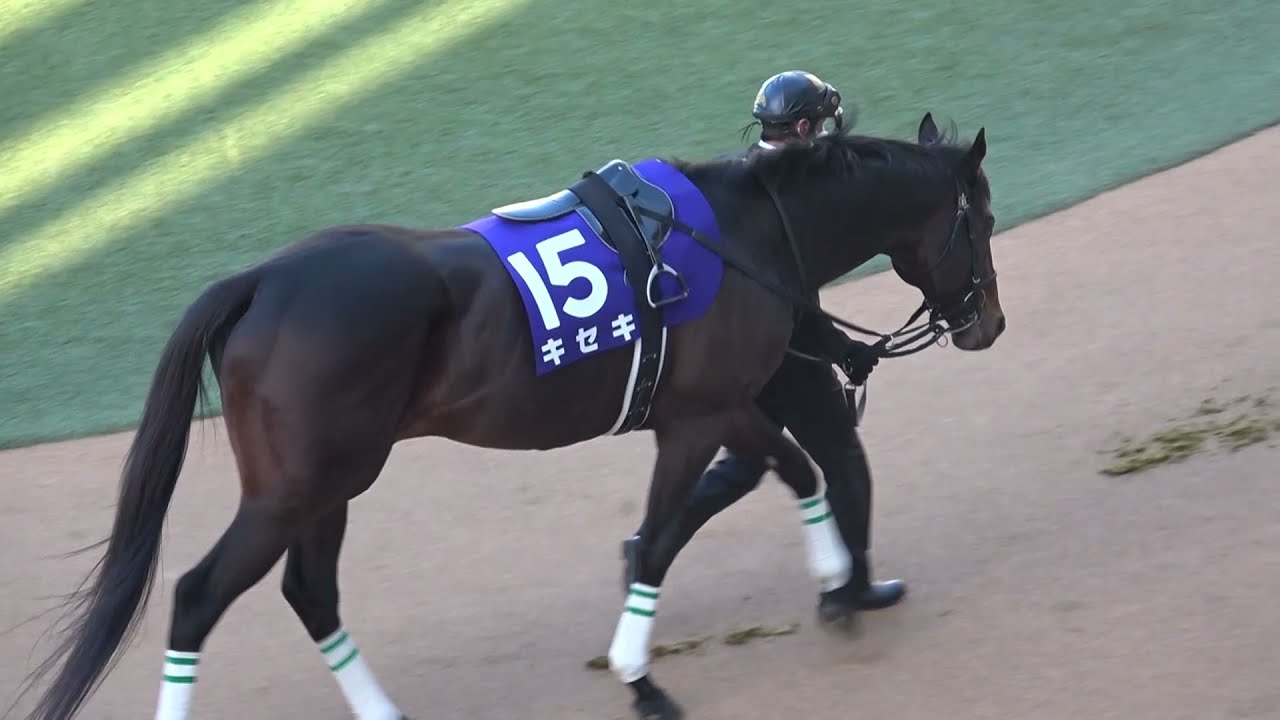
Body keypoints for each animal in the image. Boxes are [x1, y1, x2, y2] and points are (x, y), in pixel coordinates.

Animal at [18, 112, 1003, 720]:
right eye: (986, 220)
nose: (988, 324)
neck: (745, 228)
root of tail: (257, 280)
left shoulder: (713, 409)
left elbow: (787, 468)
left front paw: (838, 578)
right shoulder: (696, 417)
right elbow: (665, 534)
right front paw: (642, 679)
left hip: (330, 485)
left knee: (311, 592)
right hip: (292, 490)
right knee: (197, 597)